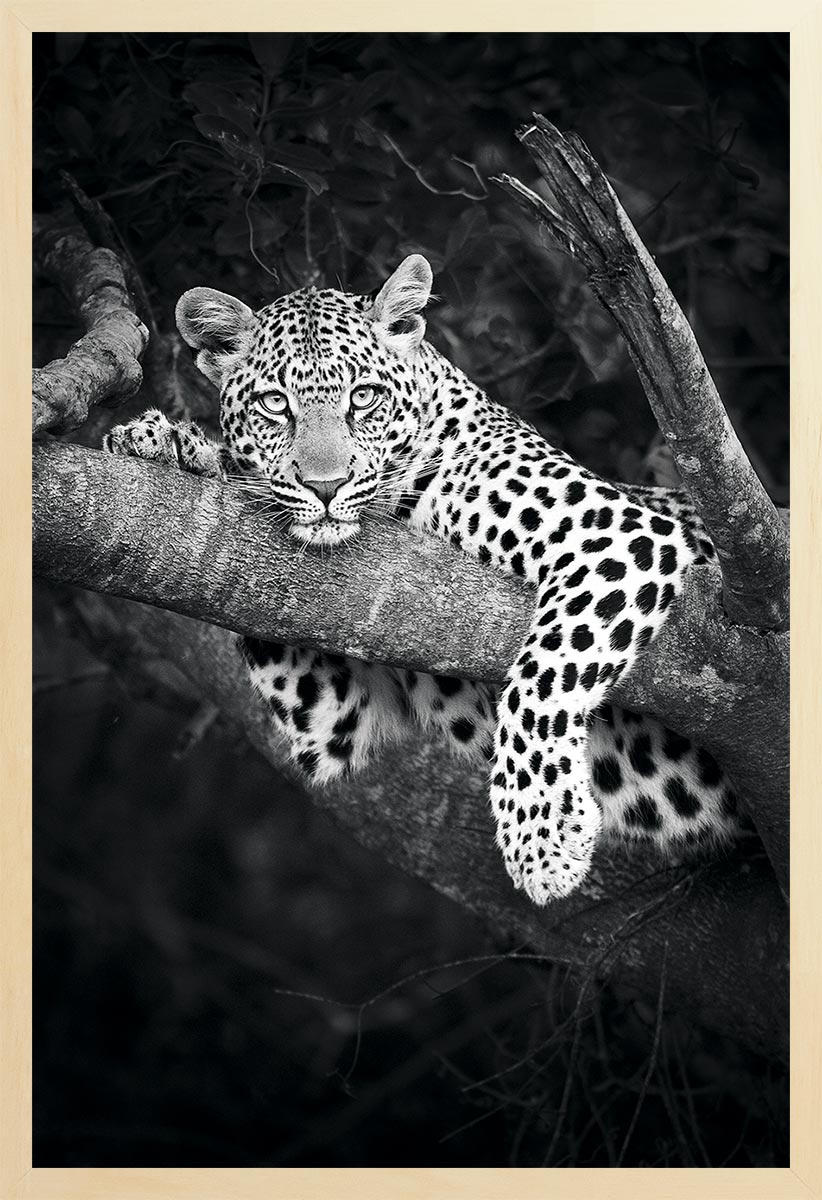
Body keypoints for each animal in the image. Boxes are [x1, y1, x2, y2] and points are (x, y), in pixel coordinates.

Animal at [103, 254, 742, 905]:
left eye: (363, 398)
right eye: (276, 405)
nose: (325, 487)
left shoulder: (616, 532)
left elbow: (543, 675)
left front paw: (542, 835)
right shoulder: (335, 713)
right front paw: (167, 442)